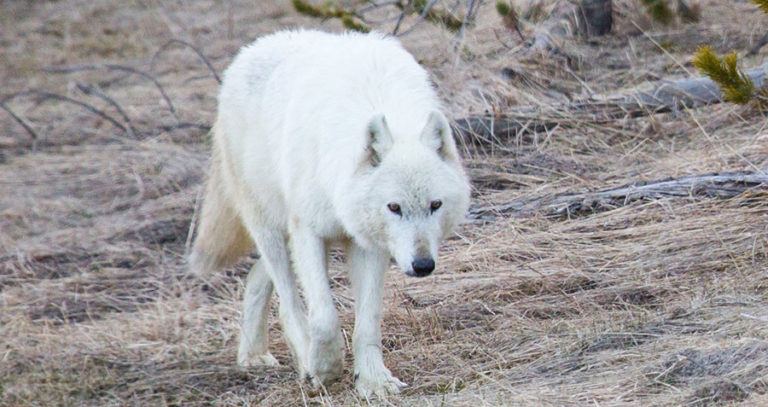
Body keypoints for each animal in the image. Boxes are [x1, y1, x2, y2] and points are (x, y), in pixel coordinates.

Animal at [189, 30, 471, 398]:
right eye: (394, 207)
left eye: (435, 205)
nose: (422, 266)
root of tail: (252, 48)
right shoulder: (308, 232)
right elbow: (324, 317)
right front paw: (325, 369)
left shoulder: (369, 243)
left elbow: (368, 322)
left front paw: (374, 382)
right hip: (271, 228)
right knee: (288, 300)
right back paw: (300, 362)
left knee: (256, 277)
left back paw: (253, 355)